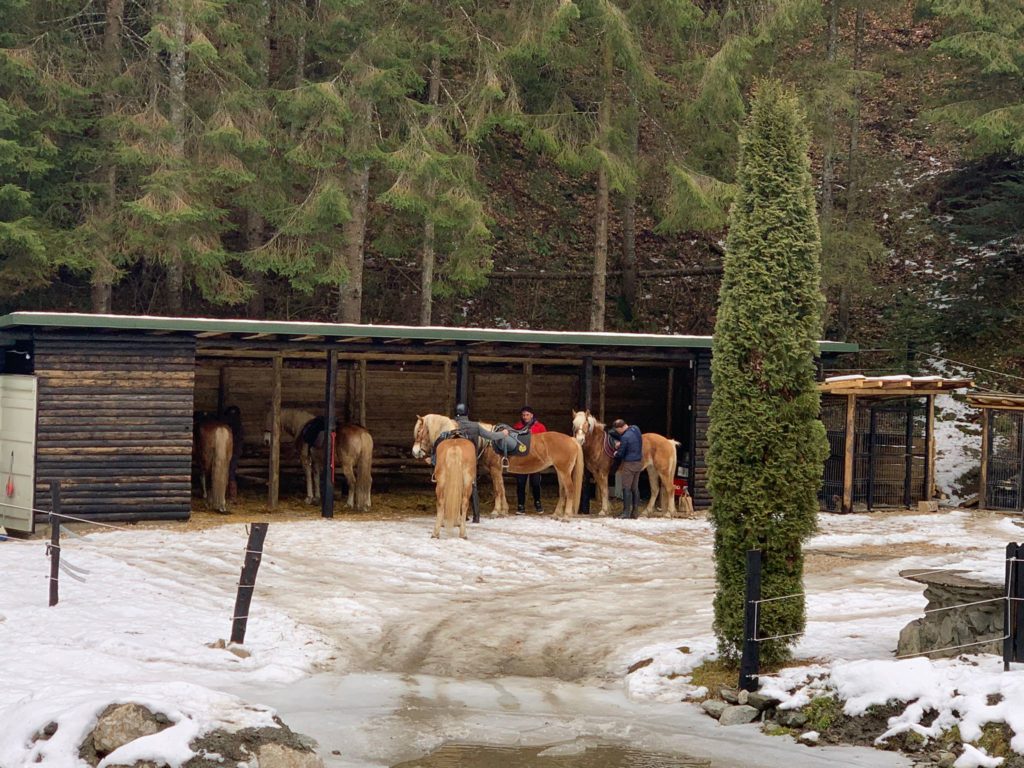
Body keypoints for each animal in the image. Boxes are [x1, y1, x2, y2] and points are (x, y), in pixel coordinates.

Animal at [407, 415, 585, 518]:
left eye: (419, 432)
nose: (415, 452)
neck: (488, 441)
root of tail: (572, 439)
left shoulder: (495, 470)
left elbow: (498, 490)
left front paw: (496, 511)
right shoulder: (497, 471)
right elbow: (501, 489)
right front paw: (504, 510)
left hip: (564, 471)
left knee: (569, 490)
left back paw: (566, 515)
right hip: (560, 471)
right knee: (563, 491)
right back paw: (556, 513)